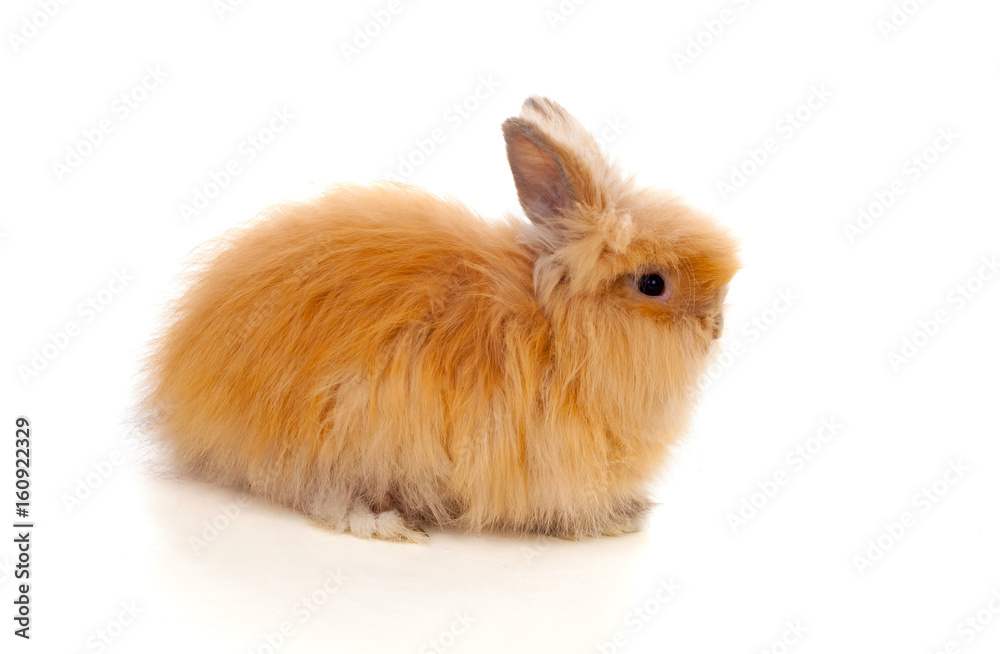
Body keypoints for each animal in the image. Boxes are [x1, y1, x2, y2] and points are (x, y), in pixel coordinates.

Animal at [142, 96, 739, 543]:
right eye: (652, 284)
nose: (717, 328)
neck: (560, 333)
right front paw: (613, 522)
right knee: (321, 496)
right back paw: (389, 524)